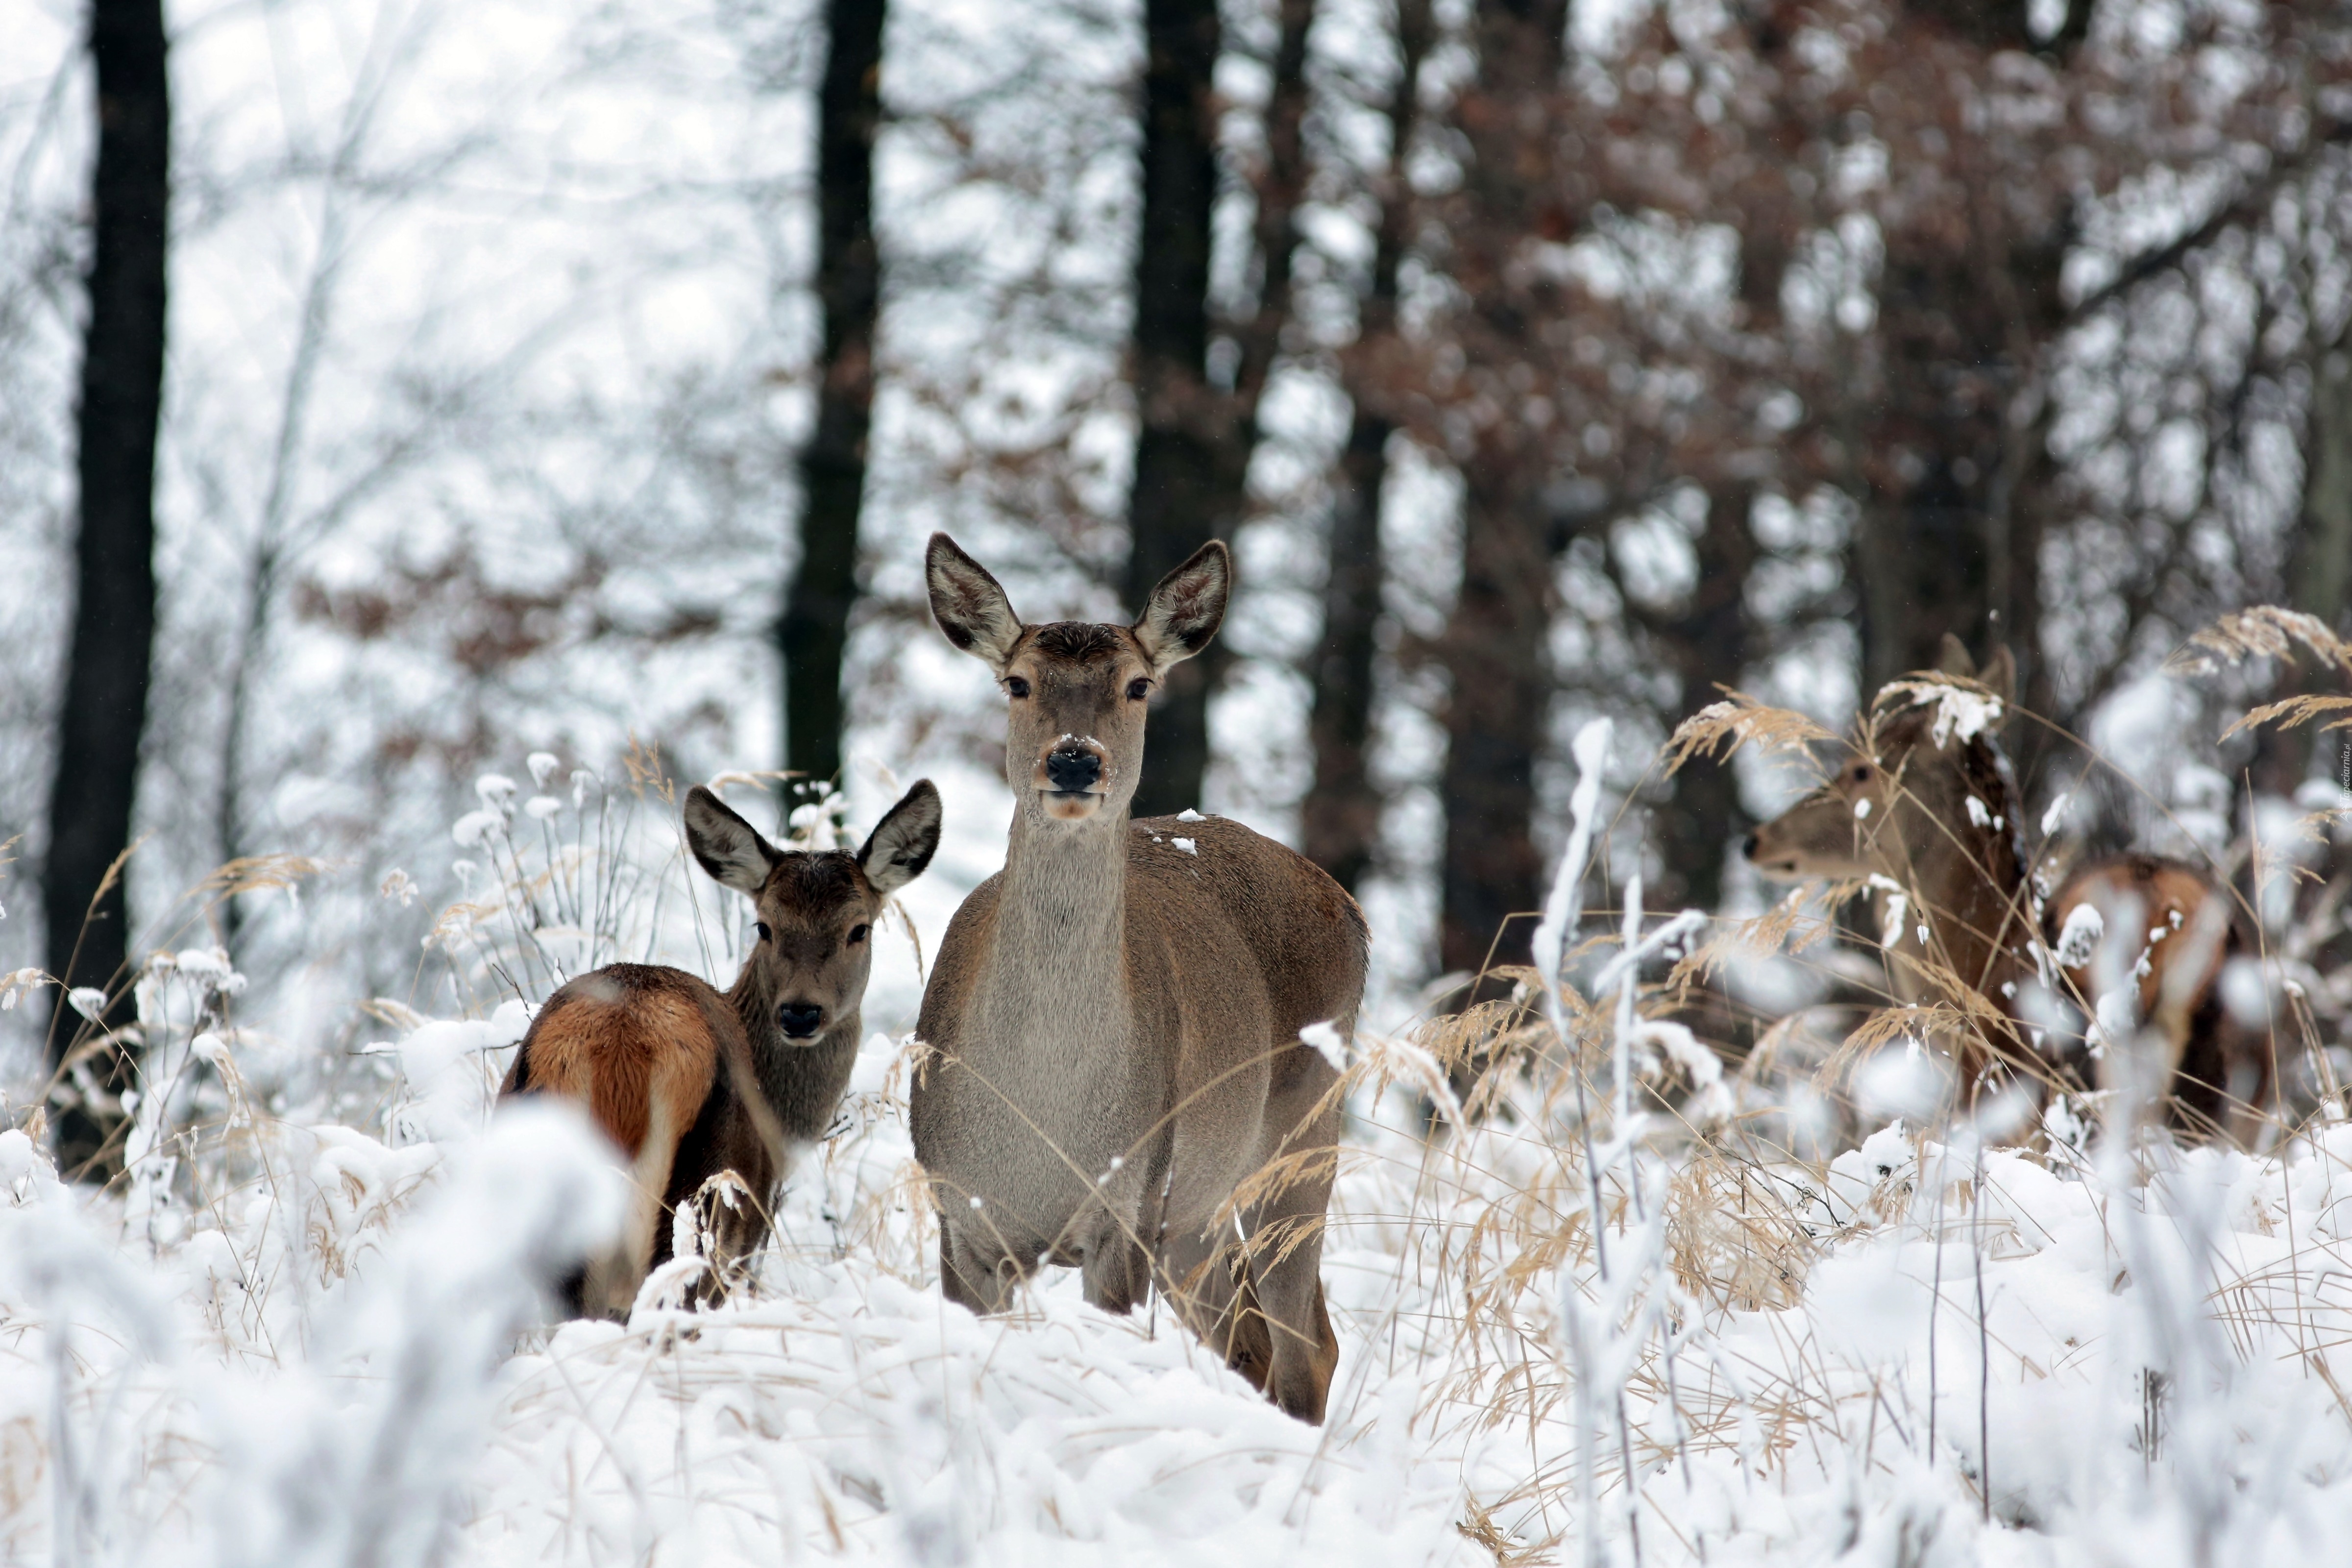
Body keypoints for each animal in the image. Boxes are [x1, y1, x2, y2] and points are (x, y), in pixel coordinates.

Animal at [501, 780, 941, 1316]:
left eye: (860, 928)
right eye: (765, 926)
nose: (800, 1013)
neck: (782, 1128)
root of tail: (619, 1053)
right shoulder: (752, 1231)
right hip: (698, 1211)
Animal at [912, 534, 1373, 1429]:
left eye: (1137, 685)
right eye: (1017, 681)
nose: (1074, 760)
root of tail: (1349, 904)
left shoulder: (1124, 1206)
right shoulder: (961, 1215)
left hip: (1302, 1136)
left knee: (1309, 1344)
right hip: (1196, 1211)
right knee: (1249, 1335)